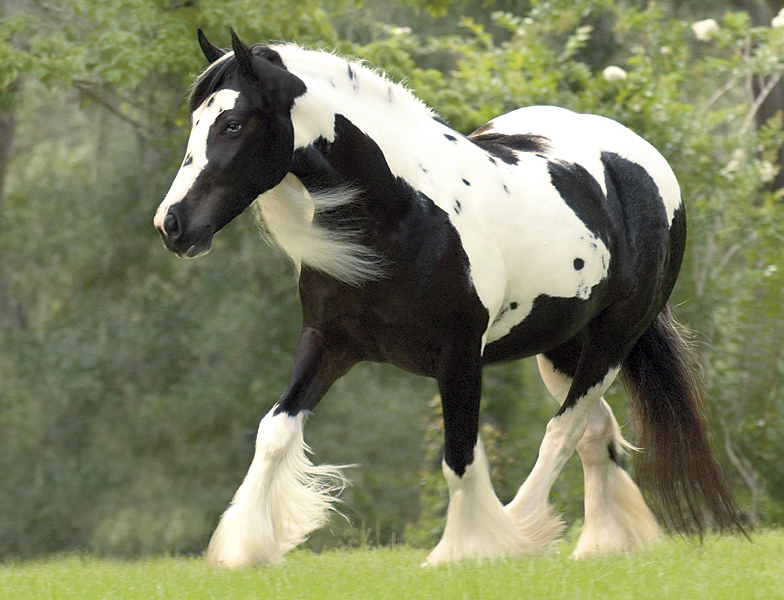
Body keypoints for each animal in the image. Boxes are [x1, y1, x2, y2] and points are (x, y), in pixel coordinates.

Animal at [153, 29, 743, 568]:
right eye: (196, 121)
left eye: (232, 124)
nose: (171, 225)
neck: (401, 213)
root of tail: (641, 160)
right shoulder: (328, 343)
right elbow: (274, 432)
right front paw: (242, 551)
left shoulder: (459, 355)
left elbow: (459, 456)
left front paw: (464, 552)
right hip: (559, 347)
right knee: (595, 433)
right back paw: (602, 544)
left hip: (612, 342)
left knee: (563, 430)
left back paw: (524, 529)